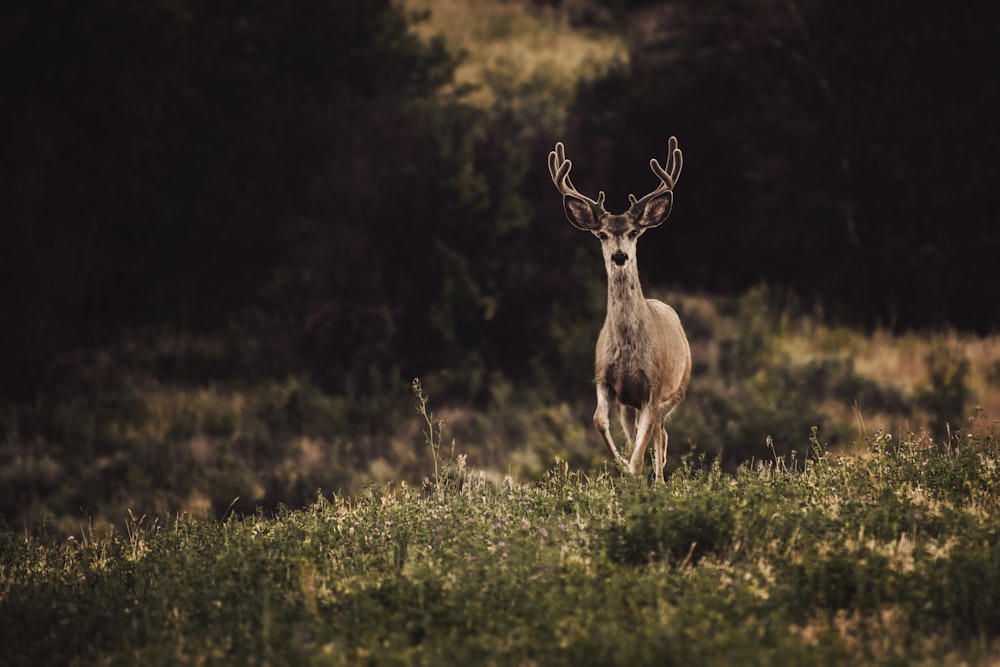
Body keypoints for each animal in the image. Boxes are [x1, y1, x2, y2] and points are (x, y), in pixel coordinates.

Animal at [544, 137, 692, 480]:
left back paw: (659, 479)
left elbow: (643, 444)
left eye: (634, 232)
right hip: (629, 404)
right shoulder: (604, 378)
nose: (620, 256)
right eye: (602, 234)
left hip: (678, 388)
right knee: (647, 432)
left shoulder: (654, 386)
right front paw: (620, 465)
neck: (627, 347)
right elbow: (599, 420)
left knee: (659, 433)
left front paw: (632, 469)